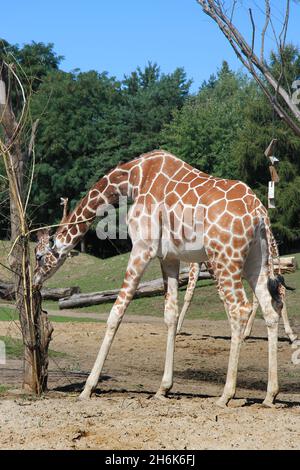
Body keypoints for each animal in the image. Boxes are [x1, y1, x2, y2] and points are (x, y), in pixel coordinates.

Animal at [32, 151, 286, 408]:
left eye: (39, 256)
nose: (34, 281)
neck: (133, 180)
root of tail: (259, 213)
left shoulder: (142, 248)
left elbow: (116, 312)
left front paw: (87, 388)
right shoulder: (169, 257)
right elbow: (170, 315)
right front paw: (163, 388)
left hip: (225, 257)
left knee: (239, 308)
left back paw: (226, 394)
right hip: (256, 259)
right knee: (270, 307)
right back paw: (270, 394)